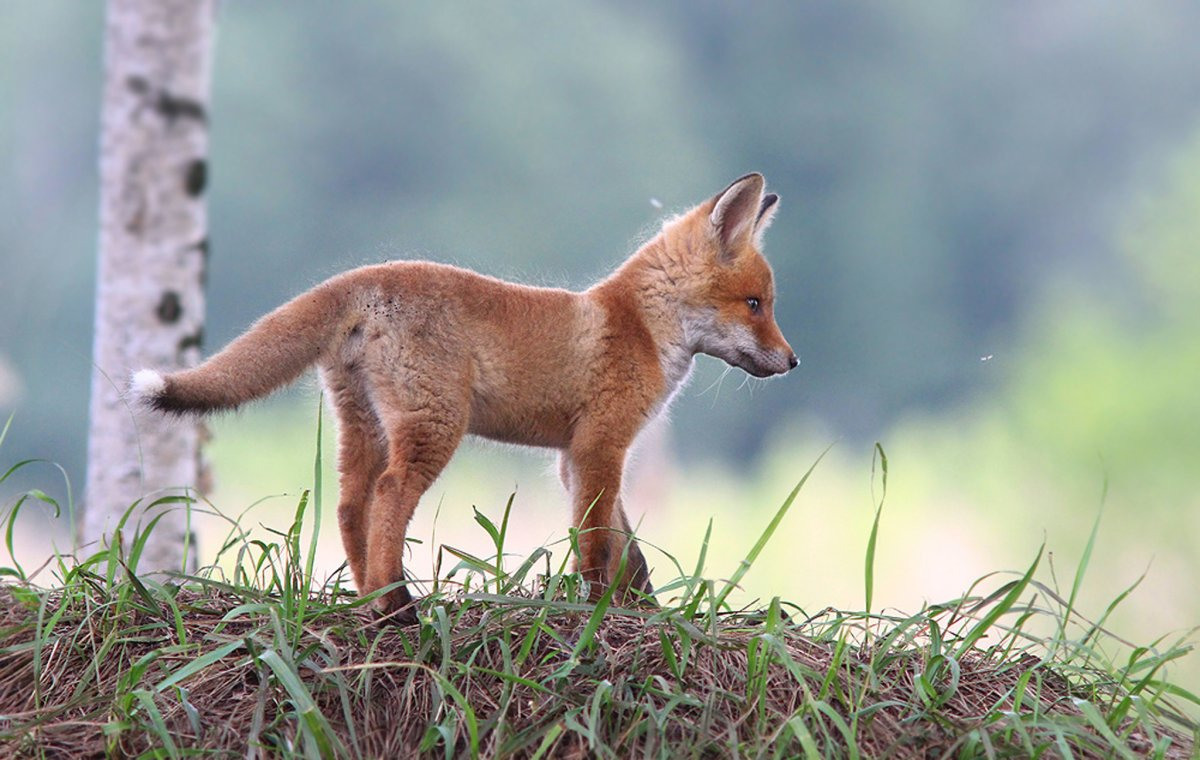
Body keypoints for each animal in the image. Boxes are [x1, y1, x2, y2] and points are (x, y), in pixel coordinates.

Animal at [131, 172, 796, 624]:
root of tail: (366, 277)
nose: (793, 362)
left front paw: (643, 612)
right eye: (755, 305)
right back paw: (398, 606)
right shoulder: (601, 445)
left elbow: (626, 549)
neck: (639, 325)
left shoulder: (574, 458)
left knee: (349, 507)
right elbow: (597, 544)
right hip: (435, 427)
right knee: (389, 495)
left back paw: (372, 598)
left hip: (366, 428)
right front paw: (597, 613)